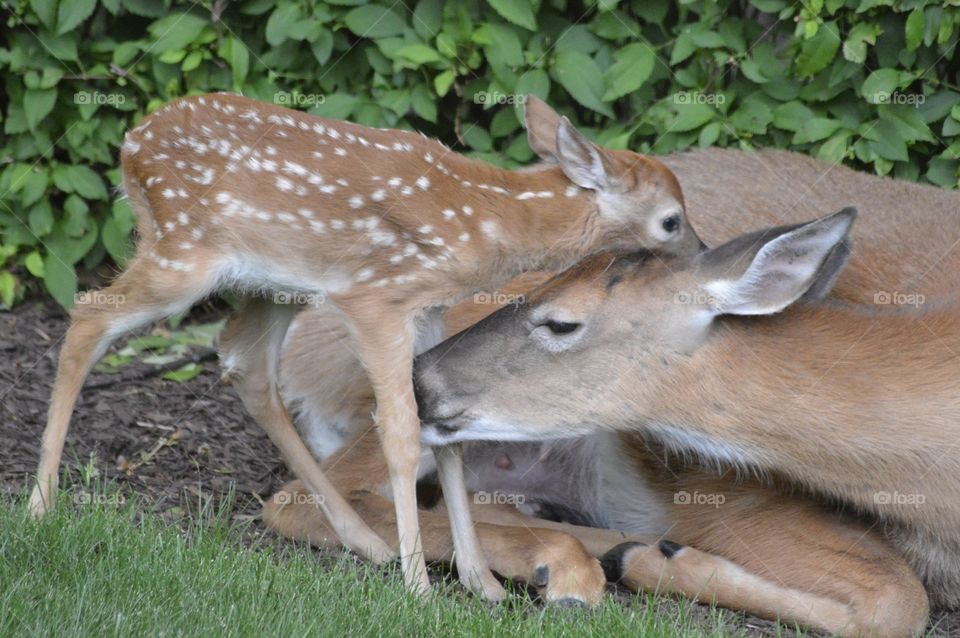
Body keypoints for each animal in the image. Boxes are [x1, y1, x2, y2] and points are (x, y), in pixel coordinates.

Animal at [28, 94, 696, 600]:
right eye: (671, 219)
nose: (699, 257)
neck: (490, 221)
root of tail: (131, 141)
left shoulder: (428, 310)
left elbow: (445, 432)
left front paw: (482, 585)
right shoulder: (377, 299)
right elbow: (401, 432)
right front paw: (422, 589)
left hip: (272, 284)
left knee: (245, 364)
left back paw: (365, 542)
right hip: (182, 251)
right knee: (87, 315)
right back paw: (39, 507)